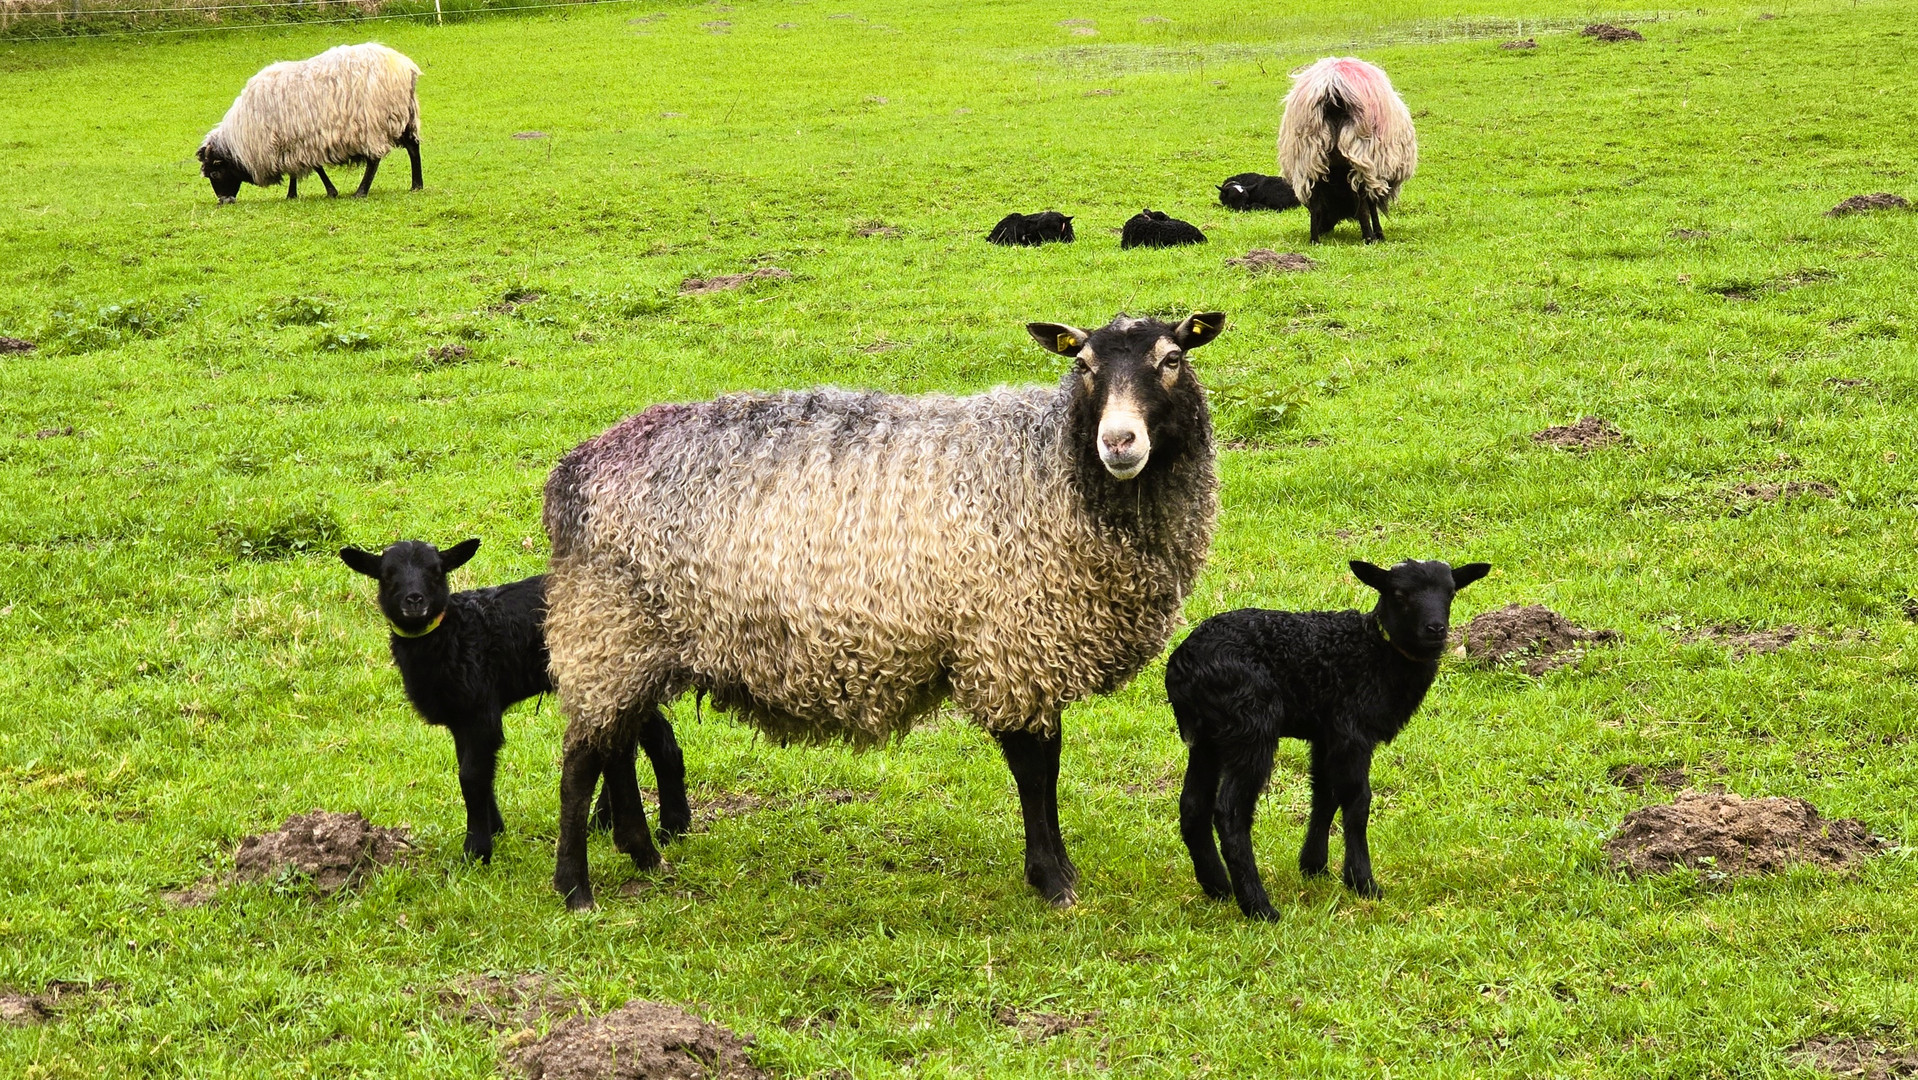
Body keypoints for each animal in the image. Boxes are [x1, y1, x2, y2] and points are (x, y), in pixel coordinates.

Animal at [198, 42, 423, 205]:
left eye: (215, 173)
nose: (224, 201)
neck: (243, 138)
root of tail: (405, 67)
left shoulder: (294, 143)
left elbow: (312, 168)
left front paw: (321, 192)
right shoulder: (295, 142)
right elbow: (303, 170)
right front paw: (295, 194)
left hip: (373, 123)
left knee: (374, 160)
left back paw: (361, 191)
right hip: (405, 116)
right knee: (413, 147)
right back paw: (416, 185)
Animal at [341, 537, 694, 863]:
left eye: (436, 571)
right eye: (387, 575)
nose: (414, 600)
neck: (455, 635)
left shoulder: (481, 710)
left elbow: (470, 776)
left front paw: (477, 849)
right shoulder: (460, 717)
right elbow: (474, 770)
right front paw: (494, 827)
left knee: (659, 741)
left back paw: (672, 827)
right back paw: (608, 821)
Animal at [1158, 556, 1488, 920]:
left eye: (1451, 592)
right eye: (1400, 594)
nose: (1436, 629)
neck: (1377, 653)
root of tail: (1181, 666)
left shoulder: (1326, 733)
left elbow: (1324, 794)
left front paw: (1314, 866)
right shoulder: (1352, 730)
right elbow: (1357, 801)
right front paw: (1362, 882)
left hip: (1207, 737)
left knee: (1192, 805)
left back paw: (1218, 887)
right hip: (1250, 725)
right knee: (1230, 813)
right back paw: (1259, 907)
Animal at [1281, 57, 1419, 242]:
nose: (1324, 227)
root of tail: (1332, 85)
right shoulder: (1375, 169)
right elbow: (1370, 203)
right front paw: (1379, 234)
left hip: (1310, 153)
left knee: (1316, 197)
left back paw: (1314, 239)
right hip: (1359, 150)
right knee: (1360, 198)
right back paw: (1368, 237)